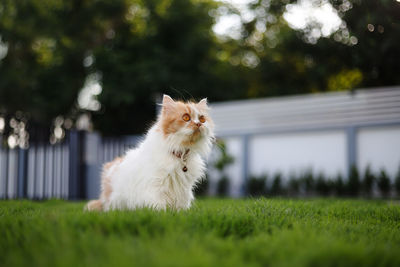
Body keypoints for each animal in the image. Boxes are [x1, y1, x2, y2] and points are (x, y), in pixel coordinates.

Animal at [85, 95, 214, 213]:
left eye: (202, 119)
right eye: (186, 117)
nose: (199, 124)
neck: (180, 153)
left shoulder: (183, 189)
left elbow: (180, 207)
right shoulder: (155, 186)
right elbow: (158, 205)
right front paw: (162, 213)